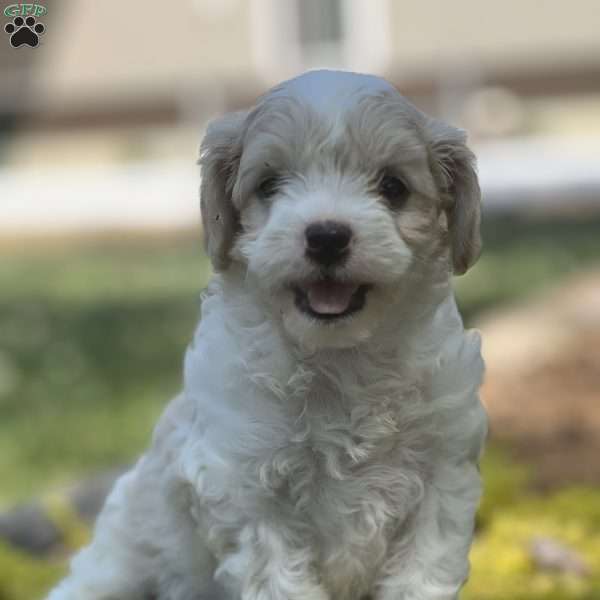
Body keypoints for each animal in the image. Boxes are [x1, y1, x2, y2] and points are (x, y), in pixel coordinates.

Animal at [47, 71, 488, 600]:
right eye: (270, 184)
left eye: (393, 186)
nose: (326, 236)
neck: (340, 359)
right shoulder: (245, 486)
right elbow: (278, 576)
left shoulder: (443, 471)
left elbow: (421, 573)